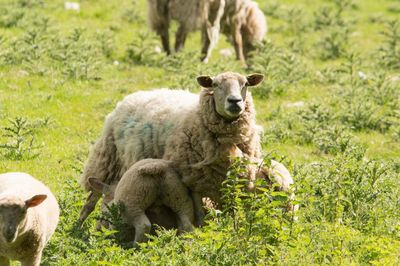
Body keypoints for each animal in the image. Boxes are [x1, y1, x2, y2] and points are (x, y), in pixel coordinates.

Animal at [79, 71, 264, 225]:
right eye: (215, 84)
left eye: (245, 84)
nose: (235, 101)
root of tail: (134, 95)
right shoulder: (192, 180)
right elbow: (199, 214)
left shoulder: (234, 182)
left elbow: (234, 211)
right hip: (107, 160)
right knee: (92, 198)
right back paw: (78, 229)